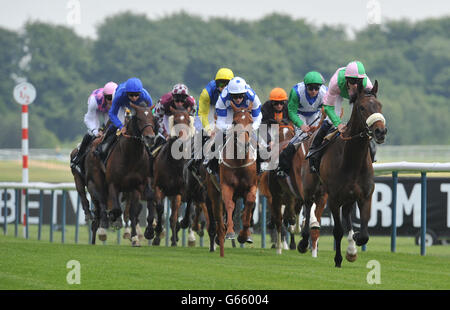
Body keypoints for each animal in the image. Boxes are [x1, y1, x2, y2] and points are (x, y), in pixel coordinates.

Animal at [298, 80, 386, 266]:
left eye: (379, 105)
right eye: (361, 107)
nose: (380, 132)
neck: (352, 161)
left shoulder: (365, 196)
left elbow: (364, 234)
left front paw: (355, 243)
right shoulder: (333, 198)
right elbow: (337, 230)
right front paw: (338, 259)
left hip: (348, 197)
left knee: (346, 214)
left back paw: (351, 249)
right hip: (310, 186)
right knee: (308, 206)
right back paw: (303, 241)